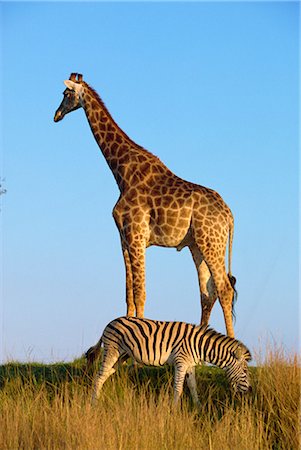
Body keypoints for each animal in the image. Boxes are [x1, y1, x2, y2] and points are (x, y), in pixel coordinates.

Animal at [54, 72, 237, 336]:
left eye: (66, 94)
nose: (56, 115)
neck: (121, 171)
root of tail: (230, 215)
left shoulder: (137, 234)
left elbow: (140, 292)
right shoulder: (124, 238)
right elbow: (129, 293)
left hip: (211, 241)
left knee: (224, 289)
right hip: (197, 245)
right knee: (206, 293)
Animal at [86, 316, 251, 404]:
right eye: (244, 370)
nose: (250, 389)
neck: (199, 345)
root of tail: (110, 323)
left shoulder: (190, 365)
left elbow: (193, 387)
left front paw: (198, 407)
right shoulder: (181, 362)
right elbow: (178, 388)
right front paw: (174, 410)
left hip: (121, 356)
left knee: (104, 375)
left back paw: (98, 399)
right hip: (112, 351)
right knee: (99, 376)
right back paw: (94, 403)